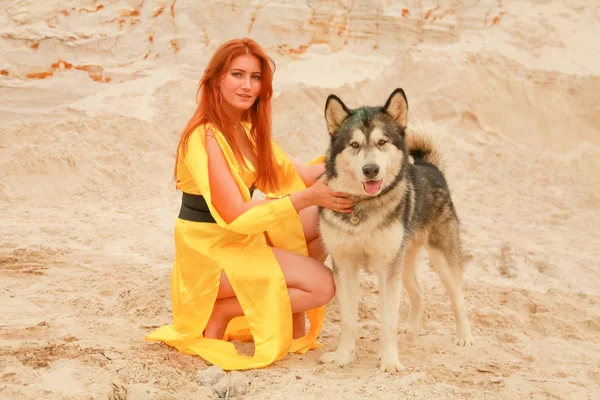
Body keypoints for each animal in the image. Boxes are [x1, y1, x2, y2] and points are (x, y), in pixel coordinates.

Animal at [318, 87, 474, 372]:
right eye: (354, 145)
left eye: (382, 142)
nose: (371, 170)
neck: (362, 207)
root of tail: (429, 167)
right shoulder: (345, 266)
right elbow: (348, 320)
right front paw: (343, 356)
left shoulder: (387, 267)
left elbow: (388, 320)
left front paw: (390, 360)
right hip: (404, 262)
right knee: (419, 293)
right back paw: (411, 328)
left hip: (442, 260)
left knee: (458, 297)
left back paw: (464, 336)